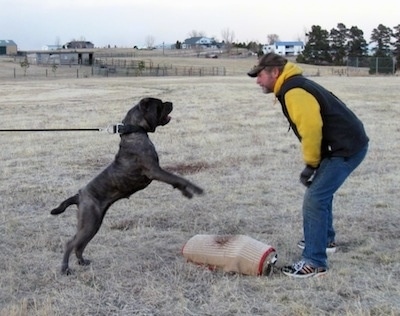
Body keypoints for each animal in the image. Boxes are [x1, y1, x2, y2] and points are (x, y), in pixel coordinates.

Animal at [50, 97, 203, 276]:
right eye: (159, 104)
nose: (170, 102)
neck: (134, 131)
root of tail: (79, 195)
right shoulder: (155, 171)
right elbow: (179, 179)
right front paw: (196, 189)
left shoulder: (159, 173)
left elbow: (176, 182)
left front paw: (187, 193)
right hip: (89, 223)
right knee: (70, 243)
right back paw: (65, 269)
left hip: (93, 224)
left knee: (79, 245)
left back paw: (82, 262)